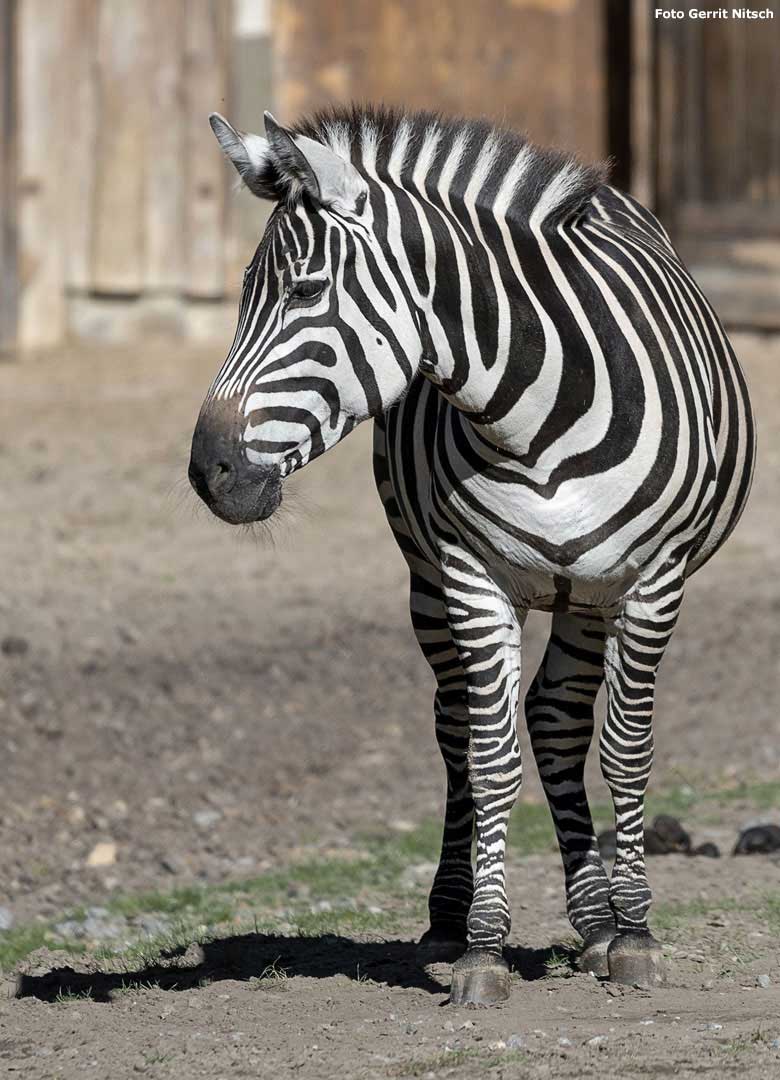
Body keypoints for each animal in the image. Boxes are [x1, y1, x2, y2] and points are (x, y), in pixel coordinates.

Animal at [187, 105, 751, 1006]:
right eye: (242, 294)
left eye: (305, 292)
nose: (209, 471)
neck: (535, 419)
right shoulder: (469, 575)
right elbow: (489, 759)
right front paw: (484, 948)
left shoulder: (652, 580)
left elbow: (625, 750)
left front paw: (634, 935)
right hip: (431, 580)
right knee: (459, 726)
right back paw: (456, 916)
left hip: (586, 593)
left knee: (558, 717)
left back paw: (599, 924)